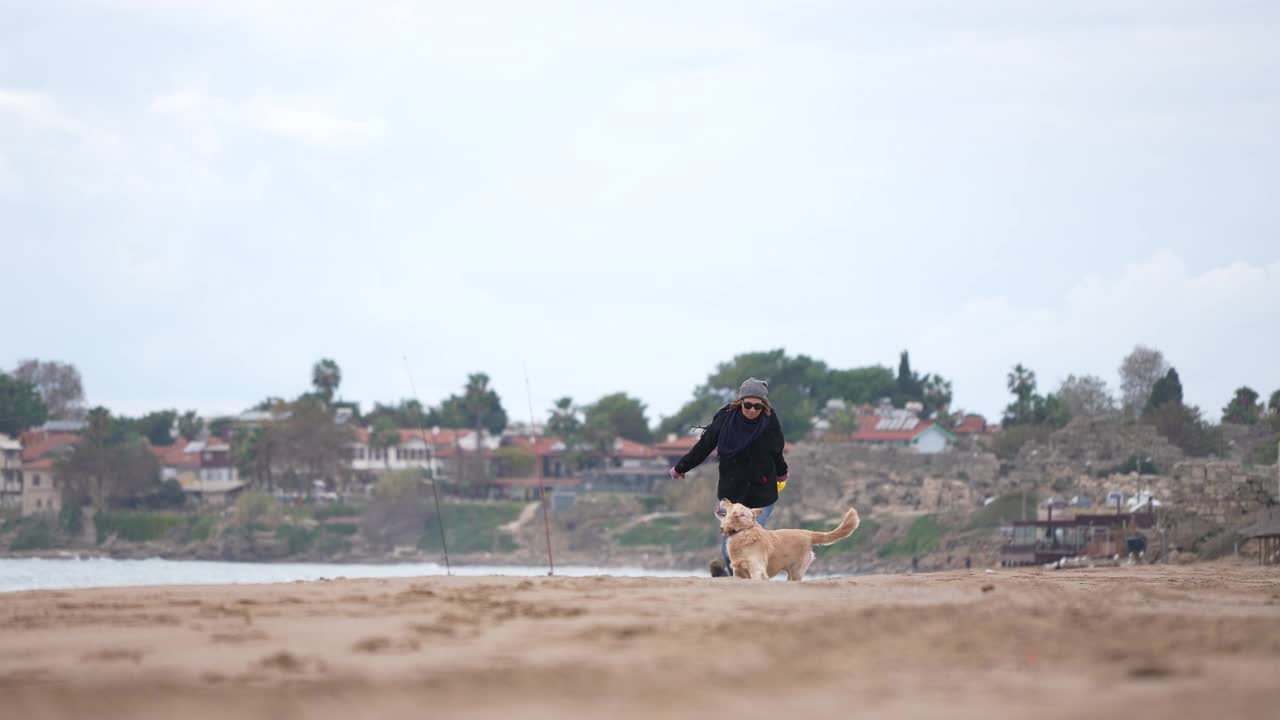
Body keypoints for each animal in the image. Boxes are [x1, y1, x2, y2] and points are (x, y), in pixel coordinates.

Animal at [721, 502, 860, 579]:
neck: (743, 531)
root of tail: (808, 533)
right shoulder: (737, 571)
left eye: (732, 504)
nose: (724, 498)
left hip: (796, 570)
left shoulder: (757, 569)